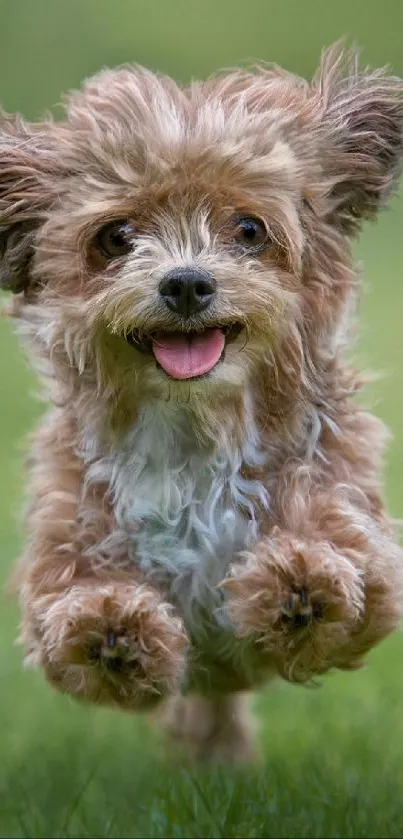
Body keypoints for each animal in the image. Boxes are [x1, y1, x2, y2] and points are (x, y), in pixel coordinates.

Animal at [0, 42, 403, 764]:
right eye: (115, 236)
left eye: (249, 228)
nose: (186, 282)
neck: (193, 426)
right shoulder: (63, 540)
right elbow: (72, 608)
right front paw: (113, 630)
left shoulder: (358, 529)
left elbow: (339, 557)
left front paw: (298, 581)